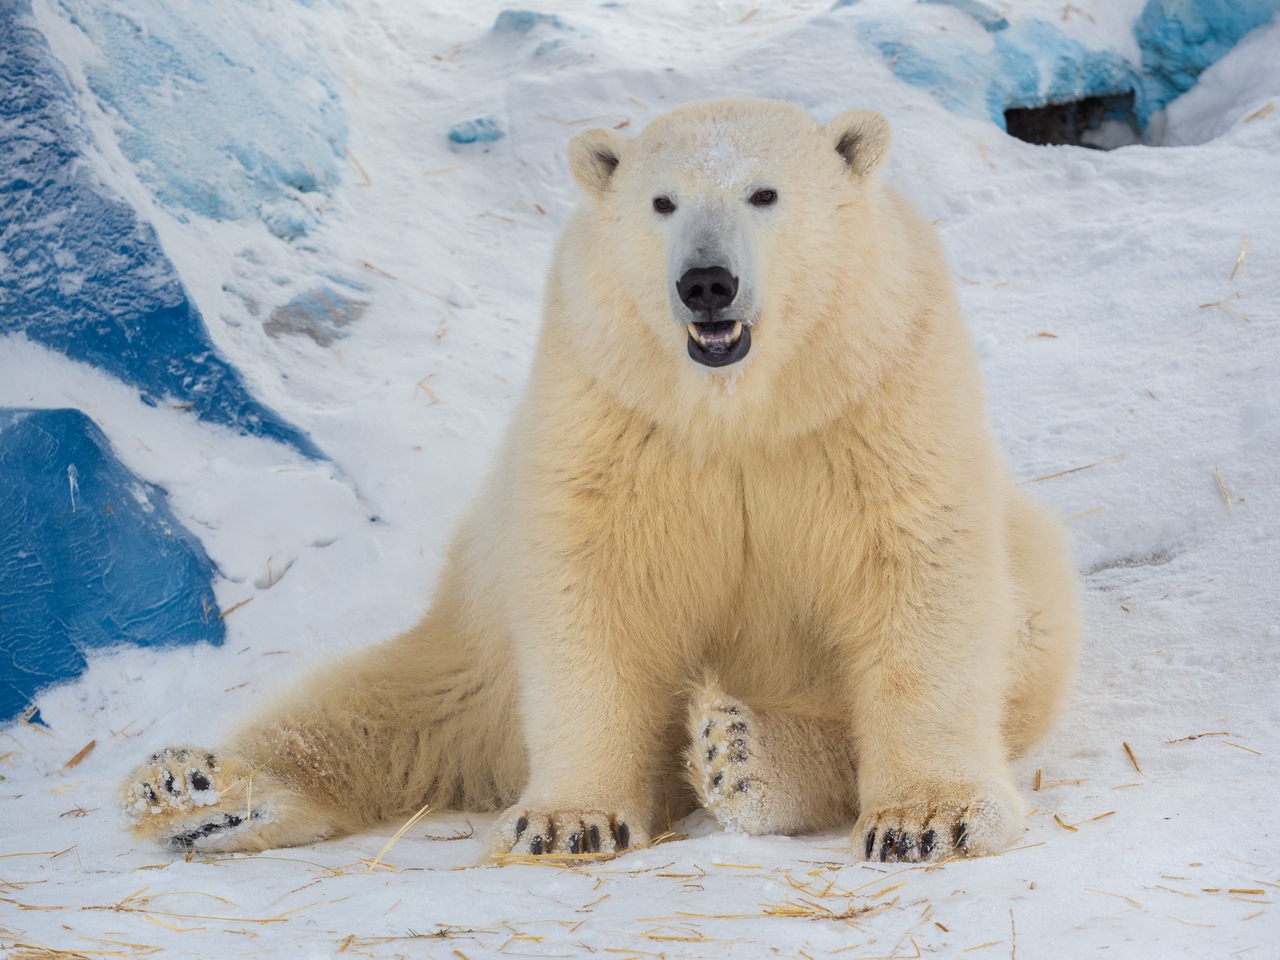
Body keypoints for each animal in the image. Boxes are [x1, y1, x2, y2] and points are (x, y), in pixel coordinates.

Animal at [122, 97, 1080, 865]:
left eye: (764, 194)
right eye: (662, 202)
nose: (706, 282)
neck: (737, 404)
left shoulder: (874, 390)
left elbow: (917, 575)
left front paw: (928, 819)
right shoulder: (610, 407)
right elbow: (595, 593)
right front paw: (568, 821)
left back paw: (745, 751)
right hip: (477, 634)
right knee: (391, 706)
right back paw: (195, 789)